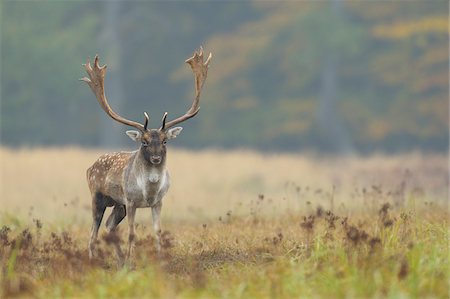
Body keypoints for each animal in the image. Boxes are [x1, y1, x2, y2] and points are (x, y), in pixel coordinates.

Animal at [81, 47, 212, 260]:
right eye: (144, 142)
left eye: (165, 141)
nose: (156, 158)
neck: (148, 191)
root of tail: (89, 167)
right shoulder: (131, 200)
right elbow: (132, 233)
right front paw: (131, 260)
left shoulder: (158, 202)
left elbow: (158, 231)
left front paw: (160, 259)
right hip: (98, 196)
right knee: (92, 233)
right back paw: (96, 260)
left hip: (118, 205)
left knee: (109, 225)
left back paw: (119, 261)